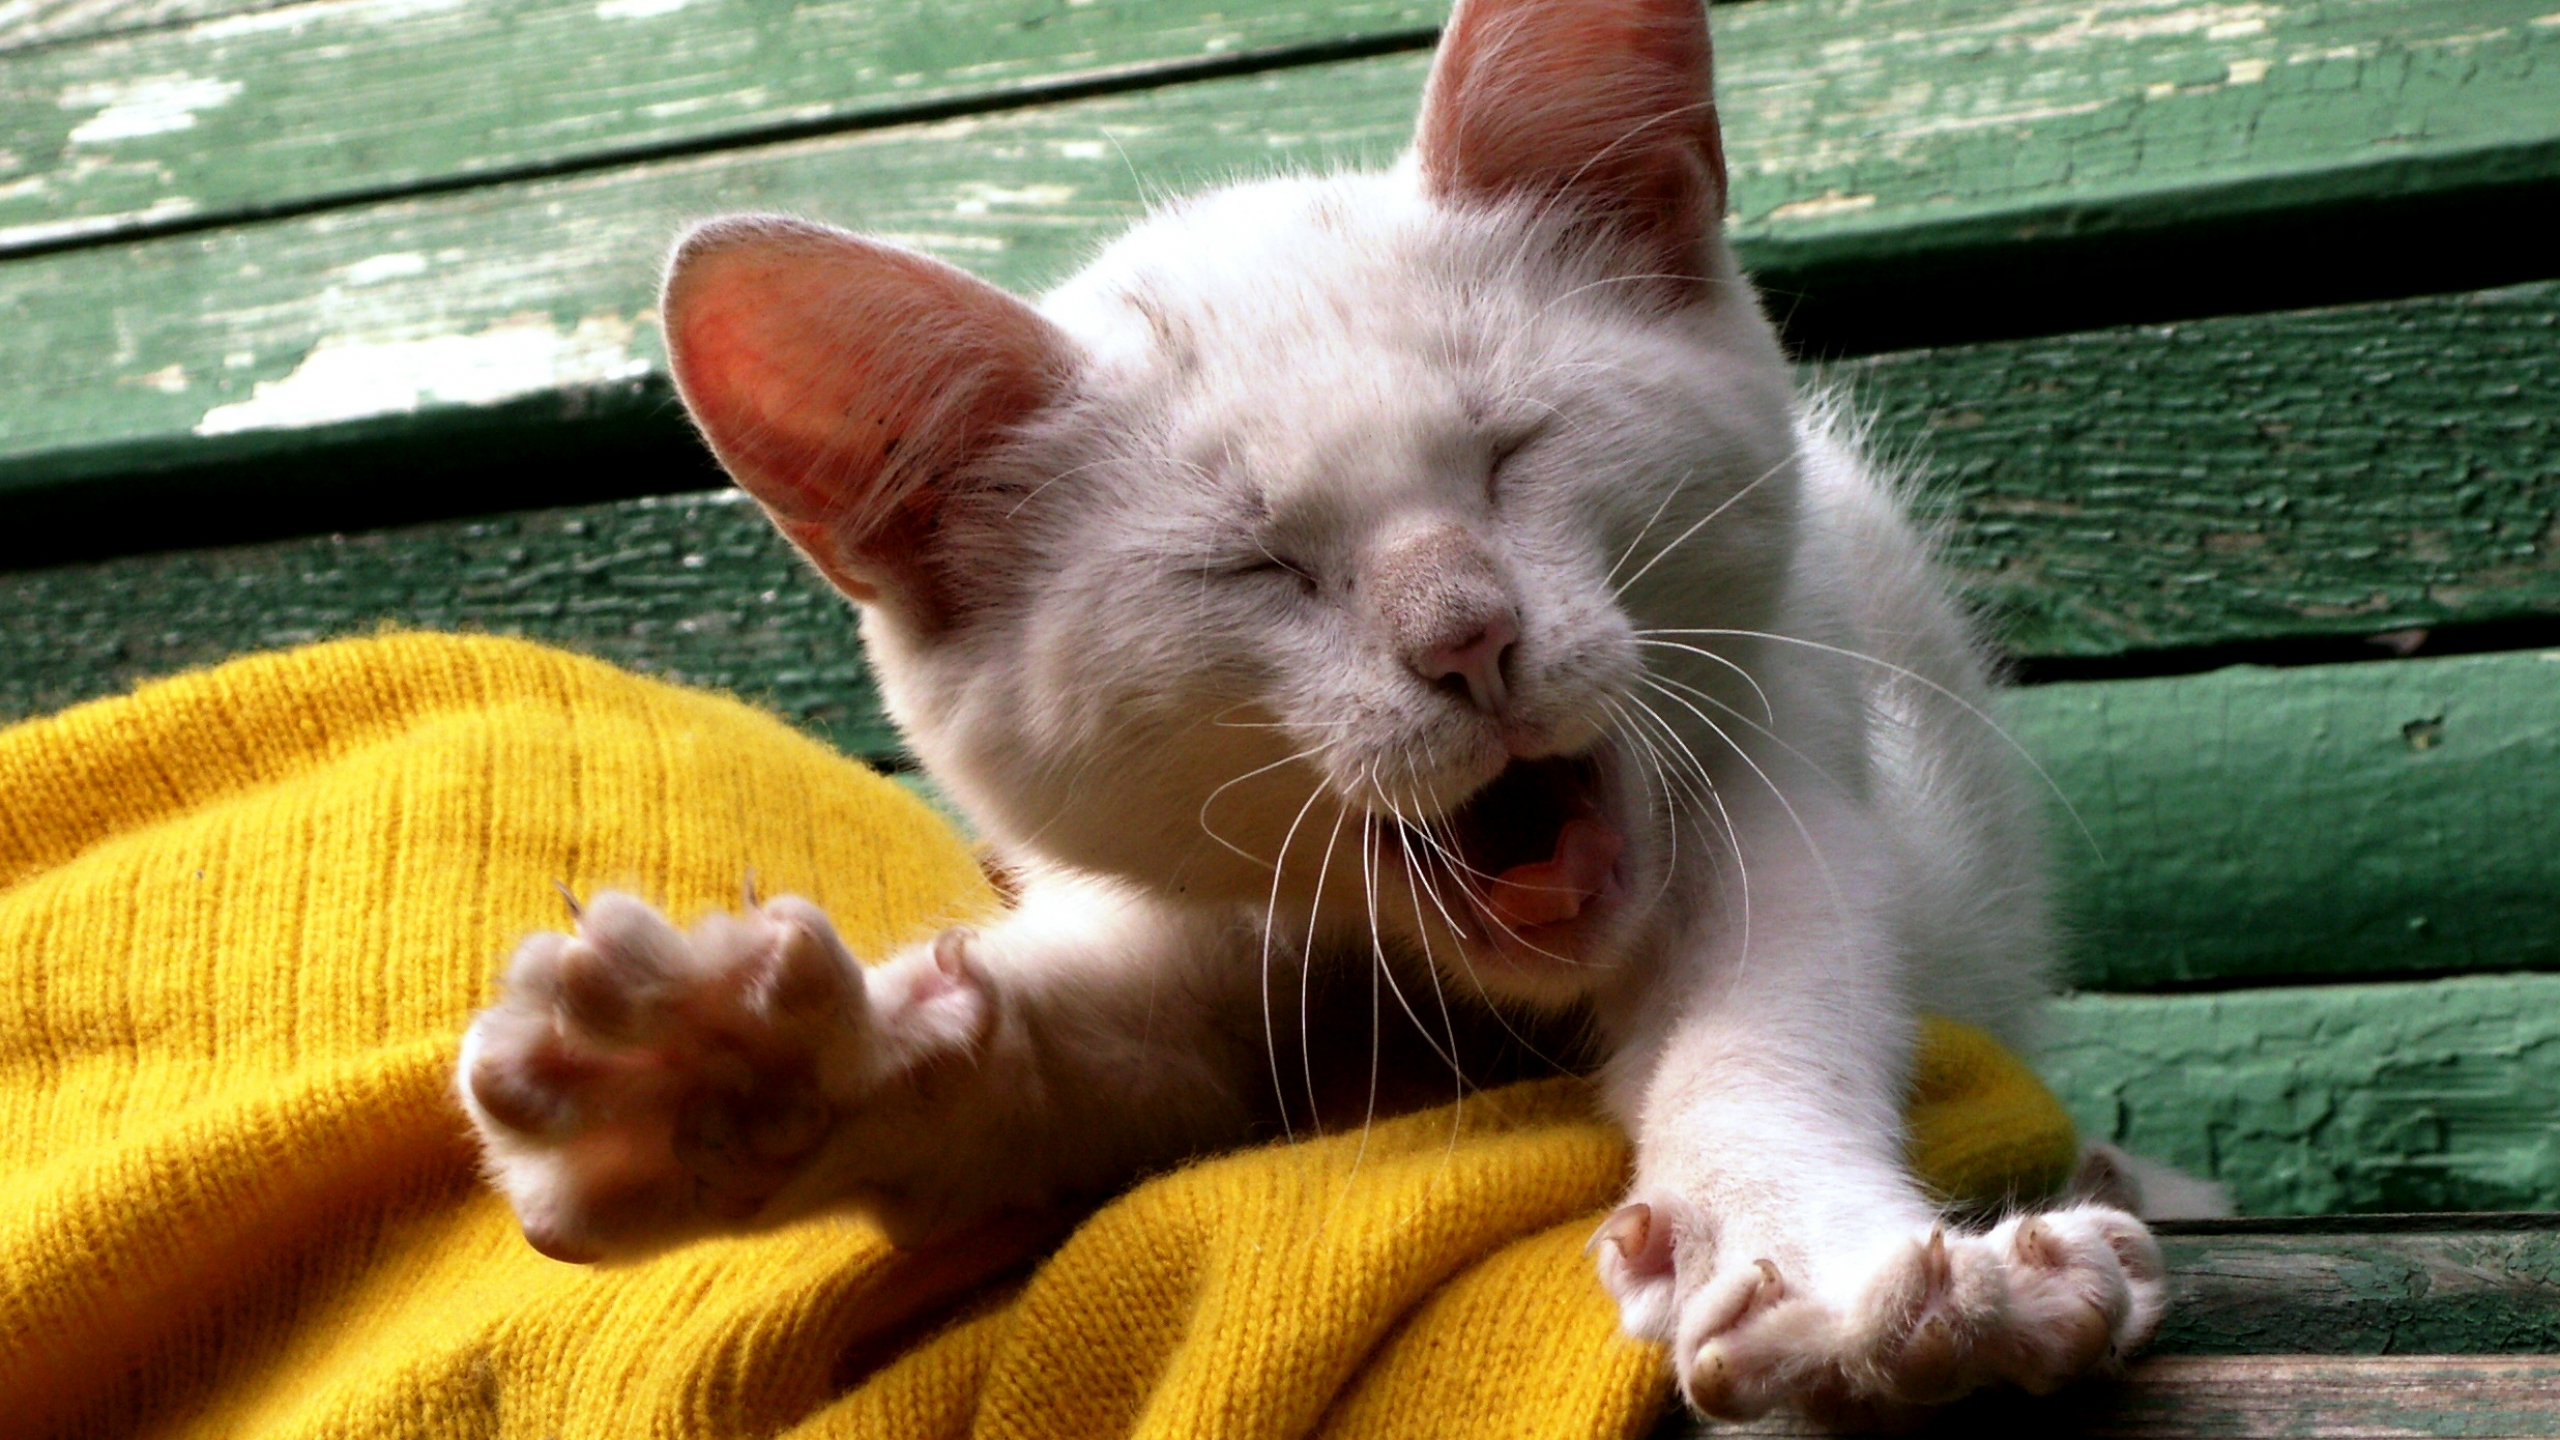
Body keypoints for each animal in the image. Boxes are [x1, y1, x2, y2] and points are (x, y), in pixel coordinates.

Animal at [460, 0, 2181, 1414]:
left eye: (1512, 453)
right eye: (1257, 565)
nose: (1468, 636)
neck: (1456, 1001)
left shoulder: (1784, 757)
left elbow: (1768, 1023)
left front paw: (1836, 1277)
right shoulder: (1197, 959)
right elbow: (1059, 1063)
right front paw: (729, 1072)